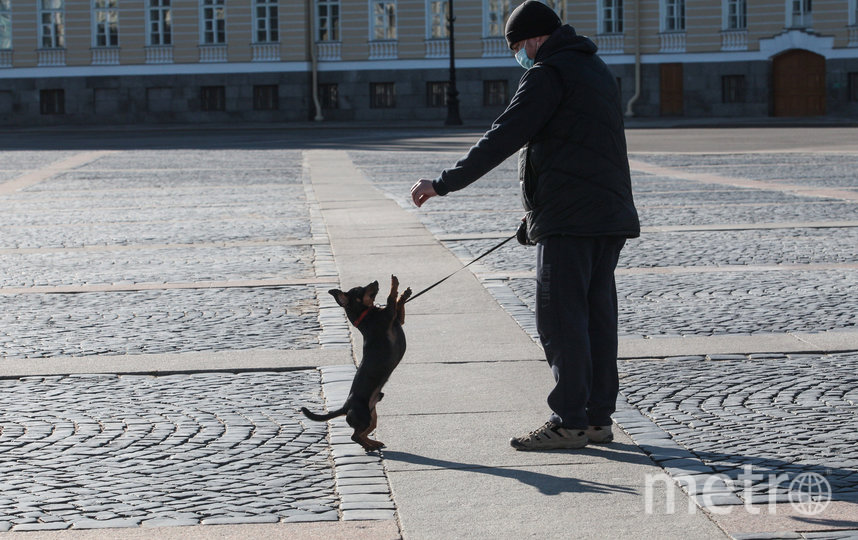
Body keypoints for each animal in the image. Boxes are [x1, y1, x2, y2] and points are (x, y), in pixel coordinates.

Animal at [300, 274, 410, 452]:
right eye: (360, 290)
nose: (375, 282)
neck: (367, 314)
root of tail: (345, 406)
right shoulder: (389, 314)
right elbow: (390, 298)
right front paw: (394, 283)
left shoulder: (398, 319)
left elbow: (399, 304)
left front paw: (405, 294)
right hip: (365, 416)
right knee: (355, 436)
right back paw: (370, 446)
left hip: (372, 417)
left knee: (362, 433)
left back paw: (373, 444)